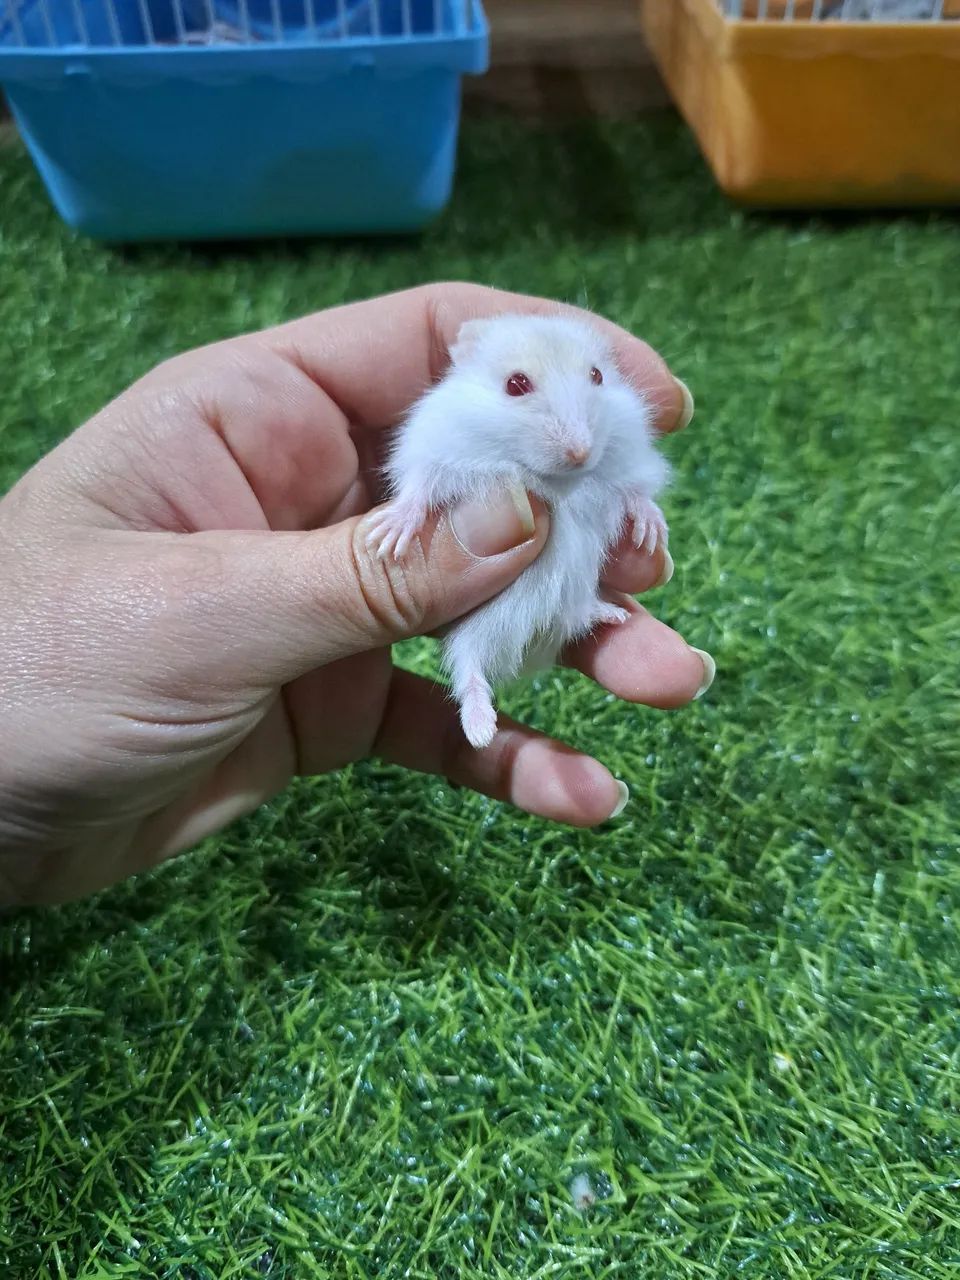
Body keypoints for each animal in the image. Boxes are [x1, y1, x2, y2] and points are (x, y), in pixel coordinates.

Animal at [364, 313, 670, 749]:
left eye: (597, 376)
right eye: (515, 384)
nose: (581, 453)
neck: (552, 479)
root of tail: (532, 642)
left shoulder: (628, 458)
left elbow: (637, 491)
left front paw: (652, 536)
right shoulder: (434, 451)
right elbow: (419, 491)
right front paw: (387, 540)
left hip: (570, 597)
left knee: (577, 616)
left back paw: (614, 615)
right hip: (473, 632)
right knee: (467, 669)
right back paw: (481, 732)